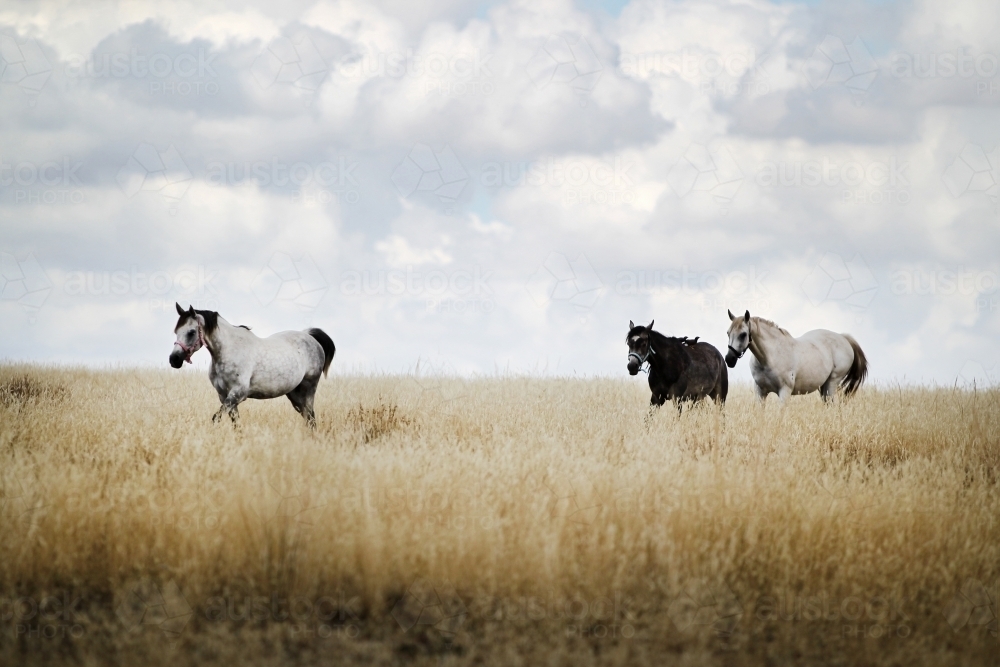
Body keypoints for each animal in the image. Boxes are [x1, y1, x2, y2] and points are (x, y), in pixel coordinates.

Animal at [169, 303, 335, 427]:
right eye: (176, 331)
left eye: (191, 332)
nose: (174, 360)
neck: (228, 350)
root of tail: (310, 337)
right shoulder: (224, 396)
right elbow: (236, 425)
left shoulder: (237, 394)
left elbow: (216, 418)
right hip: (294, 394)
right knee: (308, 417)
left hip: (308, 389)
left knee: (311, 418)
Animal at [724, 309, 867, 403]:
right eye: (728, 333)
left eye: (743, 334)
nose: (729, 359)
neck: (769, 358)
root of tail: (843, 338)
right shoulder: (760, 392)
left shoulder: (784, 392)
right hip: (824, 387)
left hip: (832, 383)